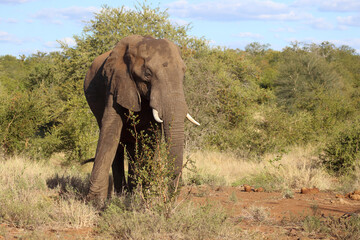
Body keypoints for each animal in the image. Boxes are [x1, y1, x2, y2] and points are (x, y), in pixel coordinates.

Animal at [83, 35, 198, 201]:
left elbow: (152, 138)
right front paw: (95, 203)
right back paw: (121, 194)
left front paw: (143, 197)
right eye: (147, 74)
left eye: (183, 74)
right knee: (118, 148)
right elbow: (110, 131)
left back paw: (131, 193)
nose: (171, 197)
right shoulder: (115, 83)